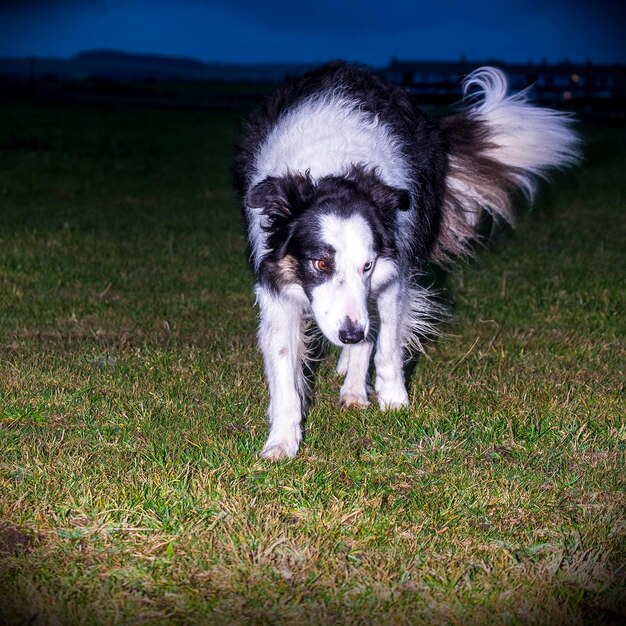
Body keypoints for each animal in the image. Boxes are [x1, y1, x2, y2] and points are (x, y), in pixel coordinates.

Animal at [234, 61, 580, 458]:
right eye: (321, 263)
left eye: (366, 265)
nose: (349, 334)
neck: (330, 170)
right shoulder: (276, 283)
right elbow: (283, 367)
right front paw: (282, 440)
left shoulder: (390, 272)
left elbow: (386, 343)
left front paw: (393, 398)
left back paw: (355, 387)